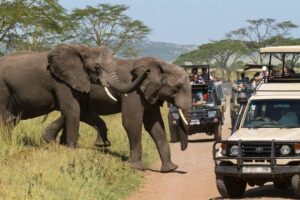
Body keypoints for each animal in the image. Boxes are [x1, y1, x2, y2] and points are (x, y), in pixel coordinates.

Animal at [0, 44, 148, 147]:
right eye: (97, 68)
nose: (146, 71)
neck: (84, 49)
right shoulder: (61, 81)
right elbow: (71, 109)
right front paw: (71, 148)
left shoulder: (79, 80)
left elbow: (85, 111)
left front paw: (102, 145)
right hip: (3, 87)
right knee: (6, 117)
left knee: (11, 120)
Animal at [42, 56, 192, 172]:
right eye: (177, 87)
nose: (182, 148)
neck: (161, 64)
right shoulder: (134, 92)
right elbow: (132, 122)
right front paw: (137, 168)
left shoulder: (151, 92)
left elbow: (155, 126)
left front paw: (171, 169)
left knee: (76, 112)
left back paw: (54, 141)